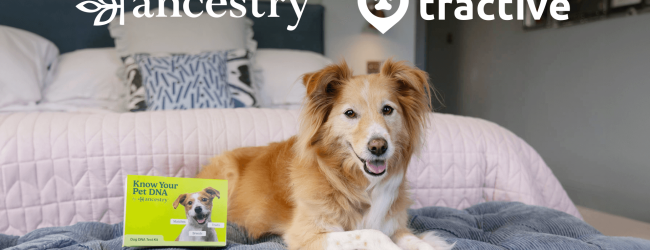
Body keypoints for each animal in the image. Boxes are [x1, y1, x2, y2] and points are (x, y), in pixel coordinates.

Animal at [195, 59, 454, 249]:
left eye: (388, 109)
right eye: (350, 113)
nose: (378, 146)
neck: (355, 183)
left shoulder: (395, 226)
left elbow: (418, 242)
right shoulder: (308, 234)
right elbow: (373, 234)